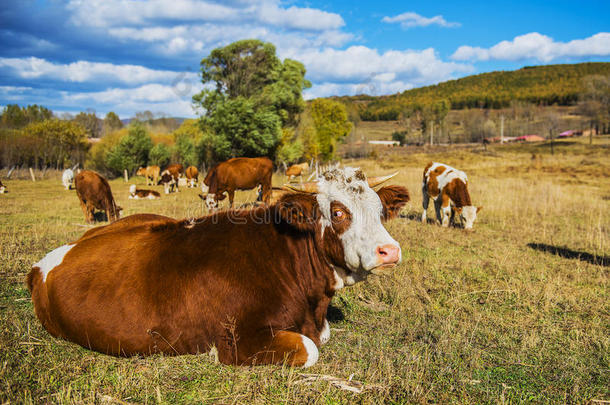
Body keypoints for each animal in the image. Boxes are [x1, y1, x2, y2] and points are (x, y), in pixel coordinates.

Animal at [27, 166, 408, 366]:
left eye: (379, 210)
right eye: (339, 212)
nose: (390, 251)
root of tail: (42, 265)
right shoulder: (237, 341)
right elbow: (310, 347)